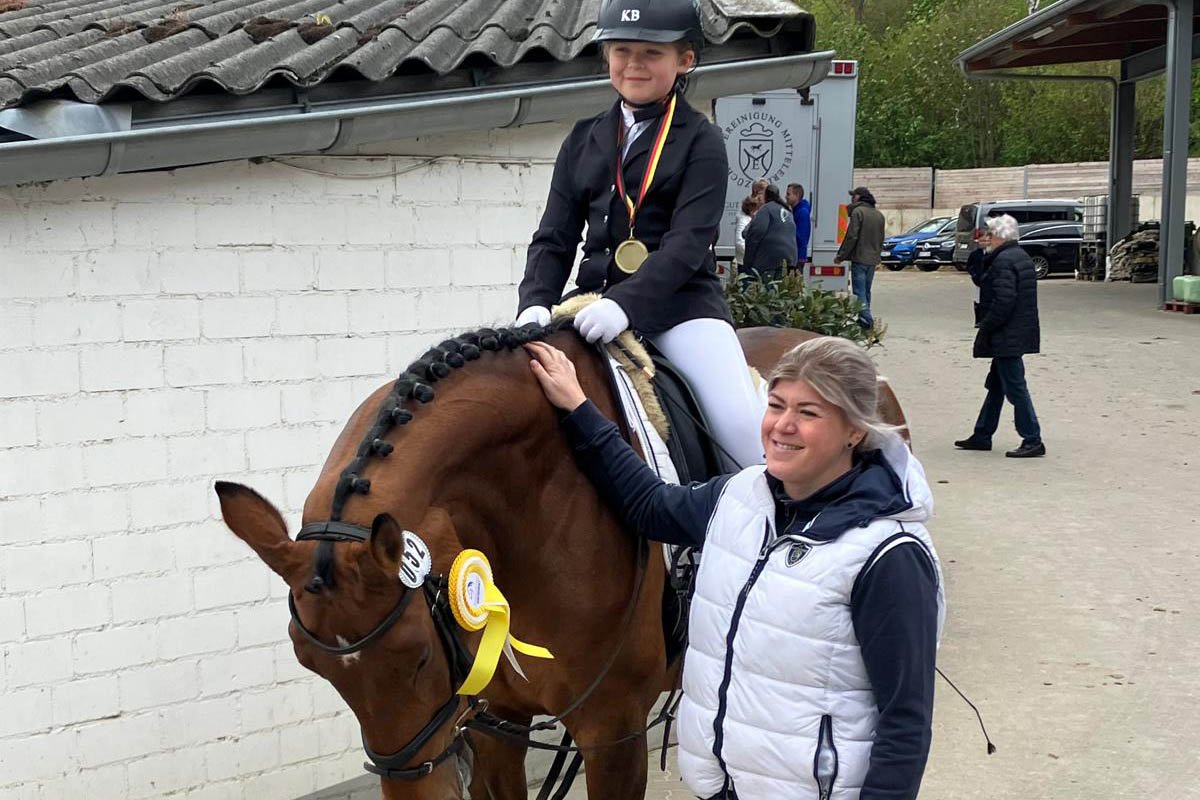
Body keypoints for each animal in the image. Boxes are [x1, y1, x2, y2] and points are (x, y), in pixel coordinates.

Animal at [216, 321, 907, 796]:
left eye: (418, 659)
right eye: (313, 666)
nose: (420, 789)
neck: (535, 509)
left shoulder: (613, 732)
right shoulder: (496, 720)